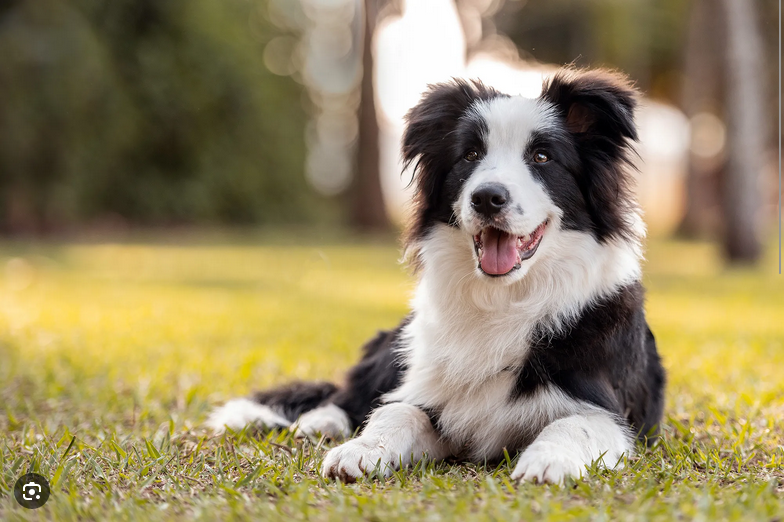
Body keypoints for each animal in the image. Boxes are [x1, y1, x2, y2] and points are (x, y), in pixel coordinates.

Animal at [207, 68, 660, 484]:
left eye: (543, 157)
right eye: (470, 155)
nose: (487, 197)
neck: (502, 298)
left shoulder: (611, 413)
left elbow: (574, 423)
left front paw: (548, 462)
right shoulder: (430, 394)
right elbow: (398, 411)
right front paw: (361, 449)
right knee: (348, 395)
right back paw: (323, 422)